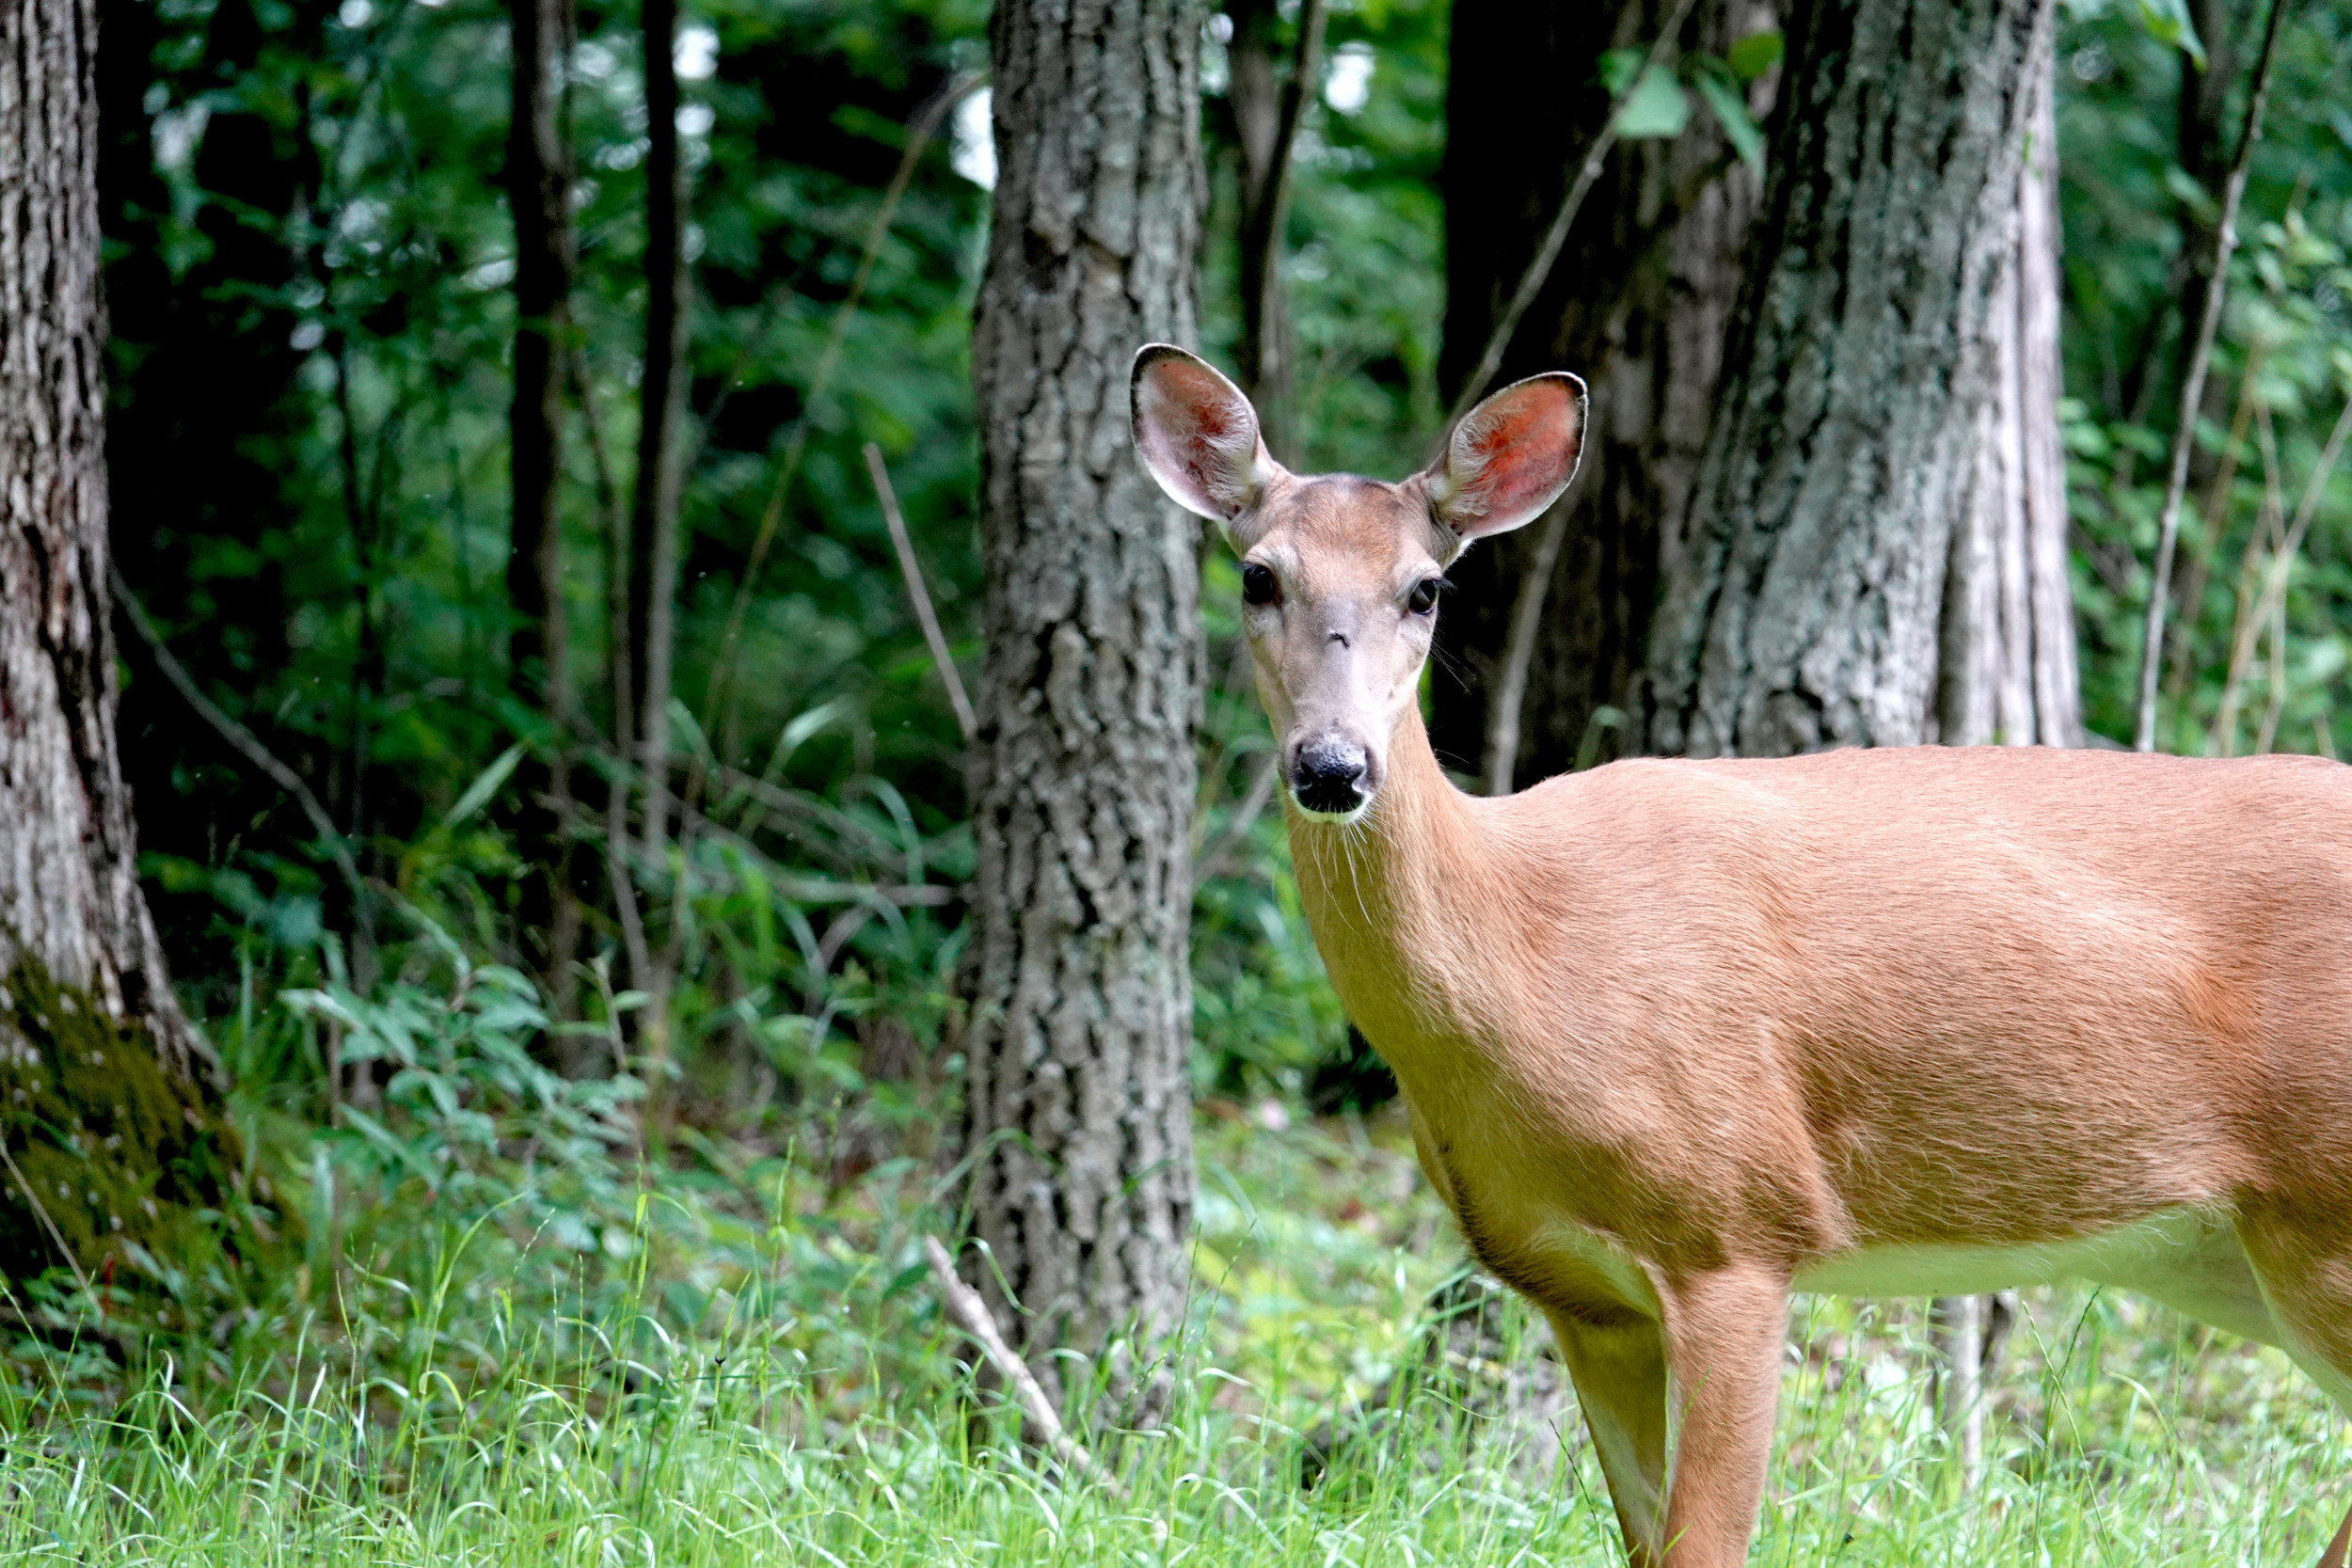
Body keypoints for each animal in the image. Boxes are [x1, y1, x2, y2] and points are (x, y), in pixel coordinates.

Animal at [1129, 342, 2352, 1568]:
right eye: (1258, 576)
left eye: (1424, 588)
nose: (1332, 765)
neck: (1528, 954)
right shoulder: (1585, 1295)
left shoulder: (1734, 1227)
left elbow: (1704, 1544)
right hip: (2231, 1254)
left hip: (2323, 1208)